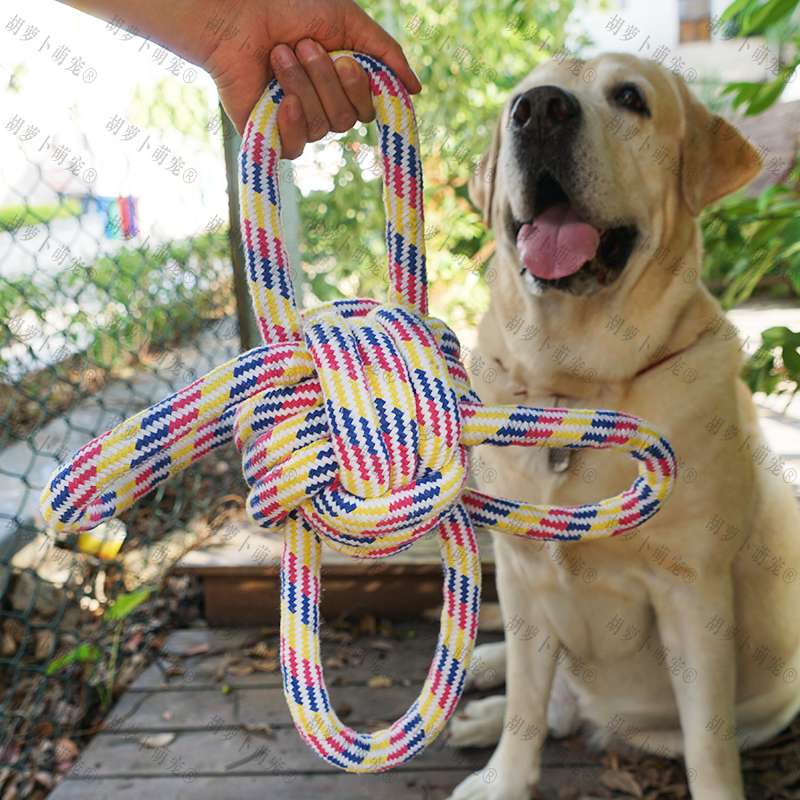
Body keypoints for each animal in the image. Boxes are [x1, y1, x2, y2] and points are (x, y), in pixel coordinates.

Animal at [446, 53, 800, 796]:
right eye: (522, 98)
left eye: (631, 99)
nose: (539, 112)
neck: (573, 389)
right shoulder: (521, 568)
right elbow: (526, 706)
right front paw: (504, 778)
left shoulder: (692, 593)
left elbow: (708, 744)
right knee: (544, 696)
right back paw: (485, 690)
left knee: (572, 711)